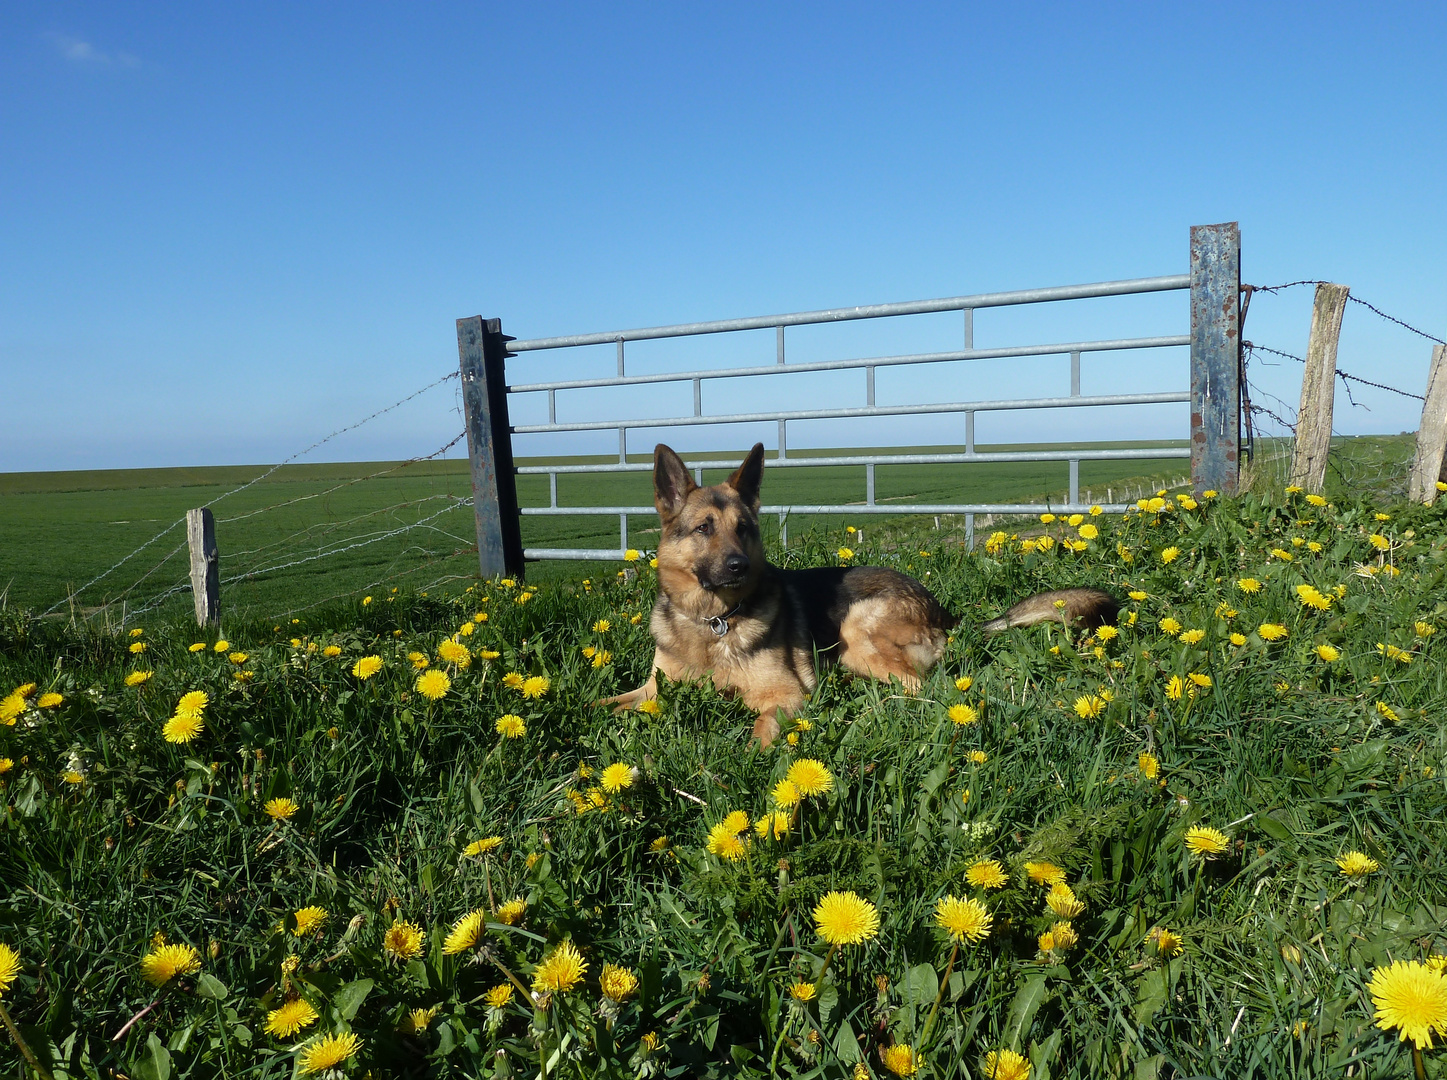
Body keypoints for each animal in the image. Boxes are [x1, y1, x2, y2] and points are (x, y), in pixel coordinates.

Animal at [599, 443, 1117, 747]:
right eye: (704, 528)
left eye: (743, 528)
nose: (738, 566)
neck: (714, 622)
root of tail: (942, 612)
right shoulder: (652, 689)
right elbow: (603, 704)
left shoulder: (784, 694)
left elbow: (762, 727)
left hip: (856, 629)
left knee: (920, 688)